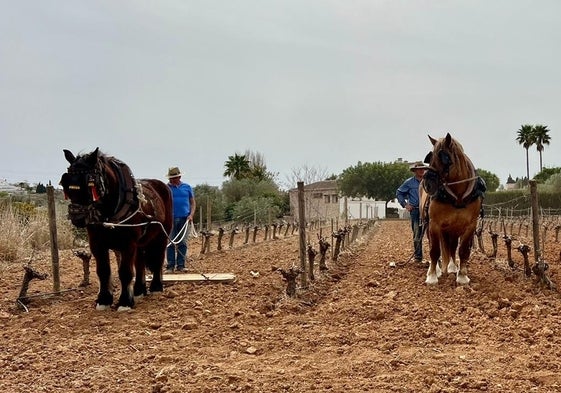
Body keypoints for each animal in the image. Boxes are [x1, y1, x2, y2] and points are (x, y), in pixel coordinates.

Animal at [59, 148, 173, 310]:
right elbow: (103, 271)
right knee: (139, 263)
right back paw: (139, 290)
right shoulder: (97, 245)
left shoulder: (128, 244)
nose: (77, 216)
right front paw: (104, 300)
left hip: (161, 236)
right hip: (140, 243)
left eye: (90, 183)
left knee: (158, 258)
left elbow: (125, 272)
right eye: (65, 183)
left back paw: (156, 287)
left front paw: (125, 302)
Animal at [422, 133, 484, 284]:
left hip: (453, 228)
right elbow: (434, 250)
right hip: (430, 226)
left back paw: (452, 267)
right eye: (430, 158)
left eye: (444, 158)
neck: (458, 197)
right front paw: (432, 277)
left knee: (452, 247)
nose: (428, 184)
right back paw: (436, 270)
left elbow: (463, 250)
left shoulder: (470, 225)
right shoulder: (434, 224)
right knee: (436, 246)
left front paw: (462, 276)